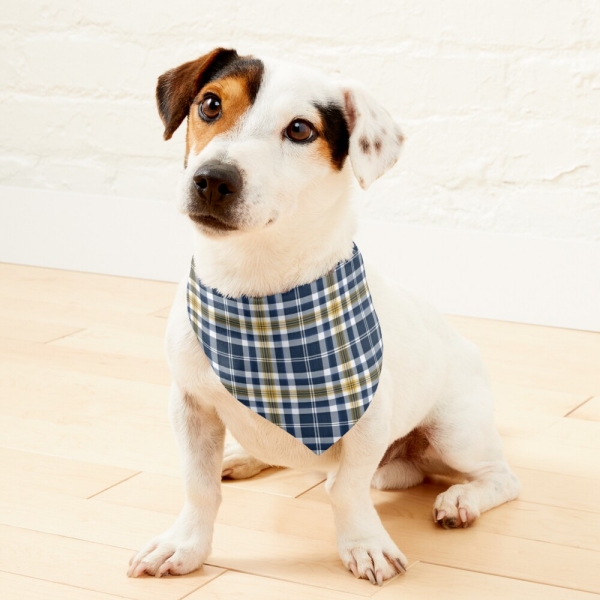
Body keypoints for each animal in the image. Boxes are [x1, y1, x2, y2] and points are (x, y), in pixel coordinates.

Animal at [127, 48, 520, 584]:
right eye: (210, 104)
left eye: (299, 130)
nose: (212, 179)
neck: (257, 290)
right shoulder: (190, 405)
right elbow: (199, 486)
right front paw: (185, 545)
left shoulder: (367, 420)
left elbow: (347, 490)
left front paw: (365, 544)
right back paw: (244, 456)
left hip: (456, 432)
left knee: (500, 477)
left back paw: (461, 499)